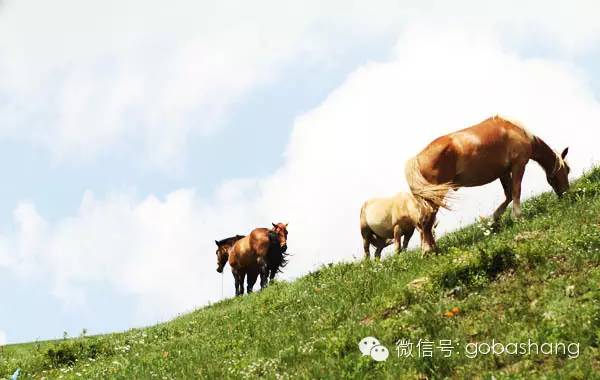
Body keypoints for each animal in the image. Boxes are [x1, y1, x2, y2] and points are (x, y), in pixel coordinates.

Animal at [406, 115, 568, 252]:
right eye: (567, 170)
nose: (566, 193)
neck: (517, 131)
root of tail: (416, 159)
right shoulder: (518, 165)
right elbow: (516, 191)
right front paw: (518, 216)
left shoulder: (503, 173)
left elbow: (509, 195)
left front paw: (495, 220)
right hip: (436, 196)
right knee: (426, 219)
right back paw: (428, 250)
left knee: (425, 221)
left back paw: (432, 249)